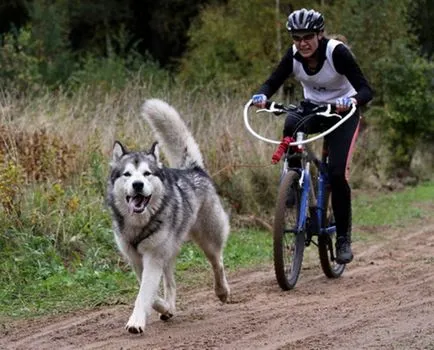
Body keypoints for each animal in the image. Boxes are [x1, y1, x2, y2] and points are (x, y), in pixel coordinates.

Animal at [106, 98, 231, 334]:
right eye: (127, 174)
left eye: (147, 173)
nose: (138, 185)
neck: (139, 224)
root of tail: (193, 169)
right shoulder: (137, 260)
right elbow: (150, 293)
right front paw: (164, 307)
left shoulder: (153, 258)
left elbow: (144, 294)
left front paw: (136, 321)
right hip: (169, 251)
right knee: (171, 283)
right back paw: (169, 308)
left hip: (208, 240)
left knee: (217, 262)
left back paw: (222, 291)